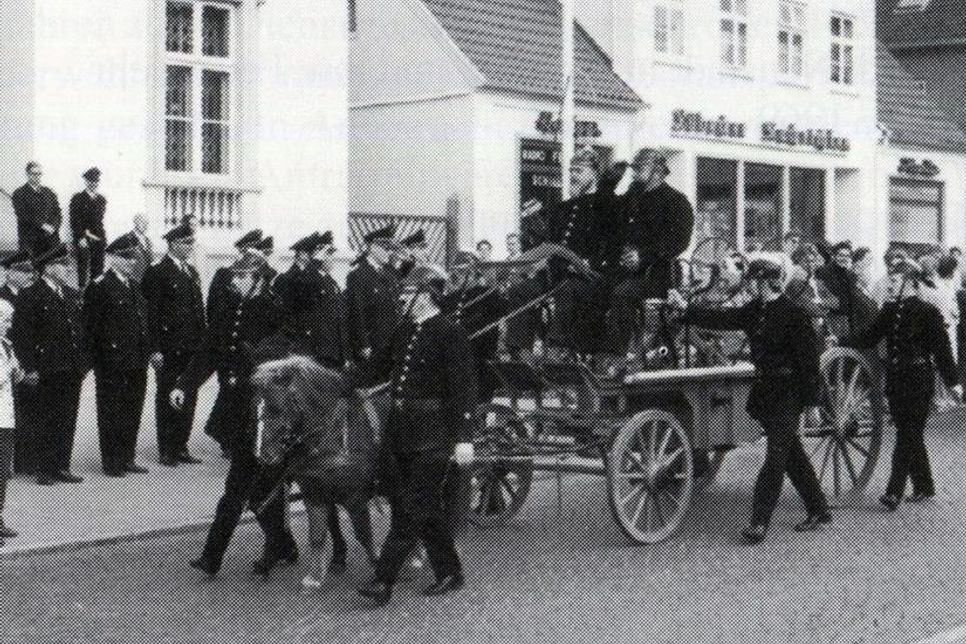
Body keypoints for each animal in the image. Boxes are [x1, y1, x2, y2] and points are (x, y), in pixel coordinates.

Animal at [250, 354, 382, 592]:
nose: (263, 456)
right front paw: (314, 577)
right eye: (256, 408)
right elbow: (317, 535)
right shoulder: (314, 493)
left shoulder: (355, 497)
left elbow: (364, 534)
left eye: (276, 407)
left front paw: (379, 569)